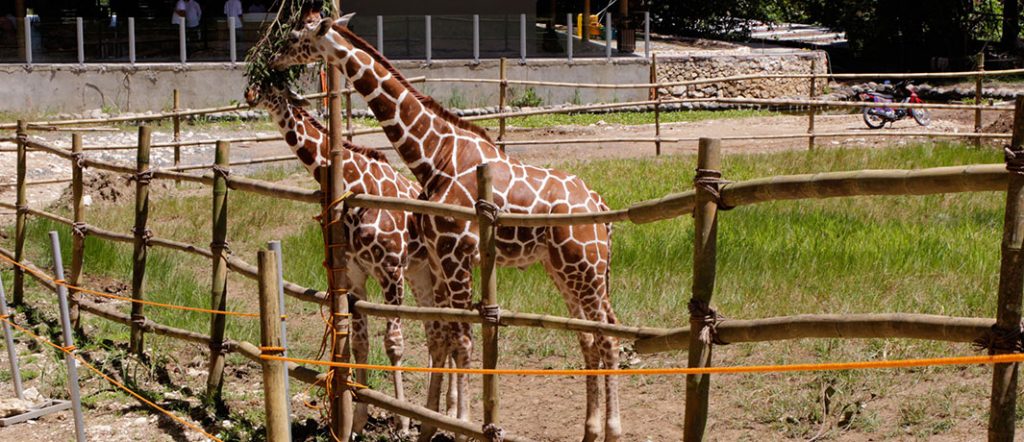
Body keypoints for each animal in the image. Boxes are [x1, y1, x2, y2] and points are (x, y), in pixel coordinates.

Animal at [242, 84, 456, 433]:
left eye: (274, 85)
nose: (249, 94)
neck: (355, 184)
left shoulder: (390, 269)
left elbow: (393, 343)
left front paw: (401, 422)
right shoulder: (357, 273)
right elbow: (360, 343)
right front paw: (357, 420)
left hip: (437, 273)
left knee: (451, 326)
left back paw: (449, 411)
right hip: (420, 273)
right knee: (434, 328)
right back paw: (432, 409)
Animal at [272, 13, 618, 442]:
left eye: (295, 37)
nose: (272, 61)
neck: (432, 155)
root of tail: (601, 207)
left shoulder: (454, 255)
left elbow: (463, 340)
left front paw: (460, 424)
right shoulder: (439, 259)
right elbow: (448, 336)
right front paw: (436, 421)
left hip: (586, 268)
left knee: (609, 334)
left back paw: (614, 429)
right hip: (563, 269)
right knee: (589, 336)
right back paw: (591, 431)